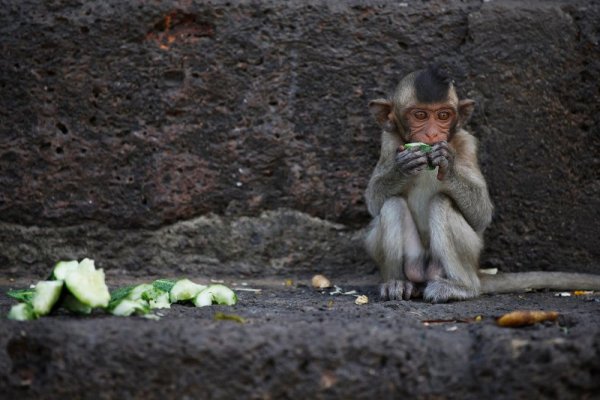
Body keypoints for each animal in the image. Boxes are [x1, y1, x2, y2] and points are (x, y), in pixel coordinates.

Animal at [364, 66, 600, 304]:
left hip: (470, 253)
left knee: (442, 203)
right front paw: (403, 166)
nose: (432, 133)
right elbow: (374, 202)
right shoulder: (389, 142)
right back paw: (398, 283)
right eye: (420, 115)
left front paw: (448, 164)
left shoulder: (467, 144)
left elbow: (482, 216)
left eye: (443, 115)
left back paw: (462, 287)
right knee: (391, 205)